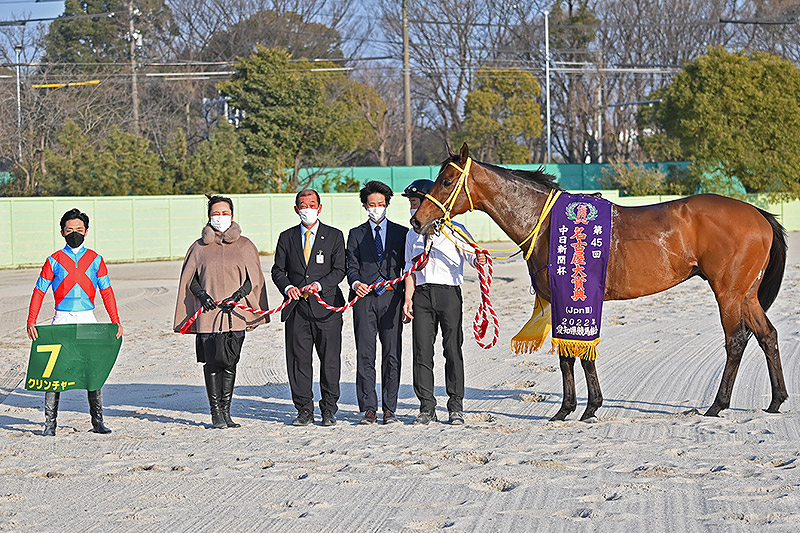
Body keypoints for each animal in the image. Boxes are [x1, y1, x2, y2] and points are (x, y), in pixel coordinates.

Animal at [412, 143, 788, 422]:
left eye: (447, 181)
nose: (417, 220)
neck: (546, 223)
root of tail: (758, 214)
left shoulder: (576, 299)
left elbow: (580, 354)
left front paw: (585, 408)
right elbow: (568, 355)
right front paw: (571, 408)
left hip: (728, 293)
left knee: (736, 342)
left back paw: (718, 405)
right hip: (747, 294)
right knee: (767, 336)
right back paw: (777, 400)